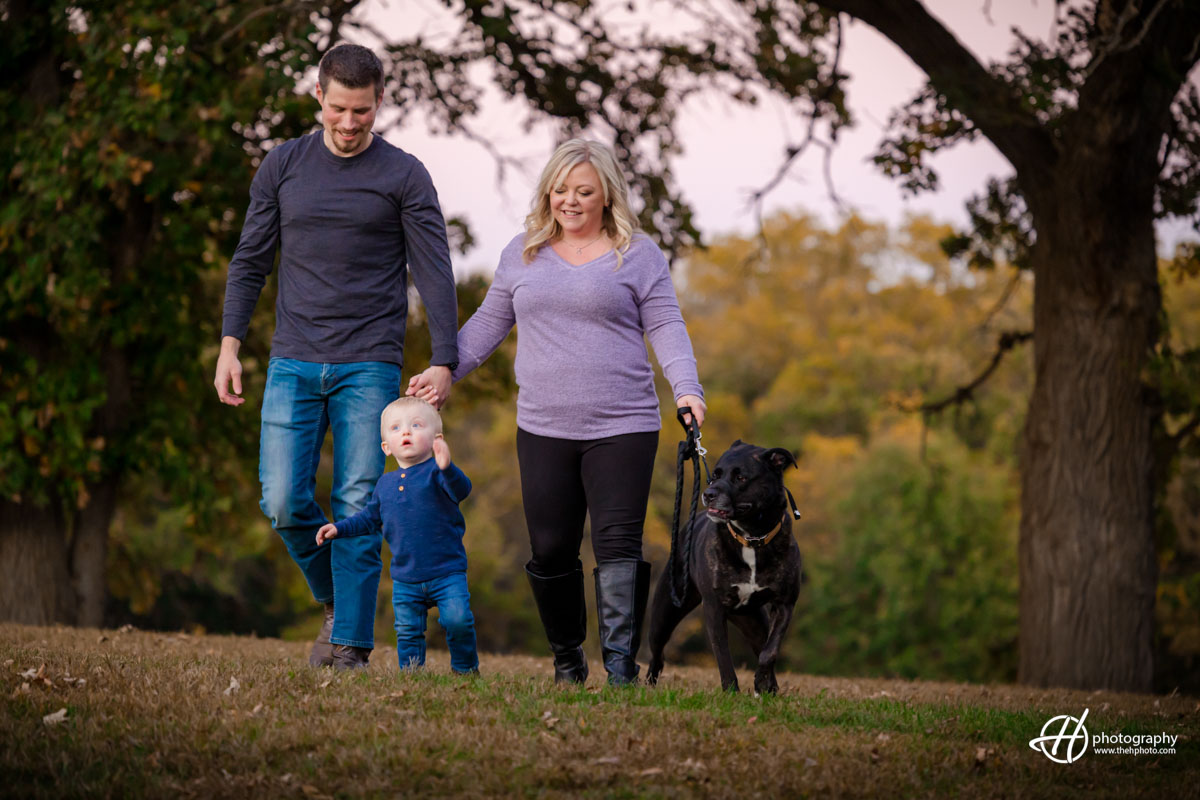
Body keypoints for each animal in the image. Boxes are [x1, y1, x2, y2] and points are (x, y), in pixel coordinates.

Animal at [643, 441, 801, 690]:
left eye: (741, 477)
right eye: (715, 475)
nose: (708, 494)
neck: (751, 537)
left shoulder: (785, 603)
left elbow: (770, 651)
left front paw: (761, 682)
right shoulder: (714, 607)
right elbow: (723, 654)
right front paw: (731, 691)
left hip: (754, 621)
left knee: (761, 646)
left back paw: (770, 688)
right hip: (665, 612)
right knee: (657, 654)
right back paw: (648, 684)